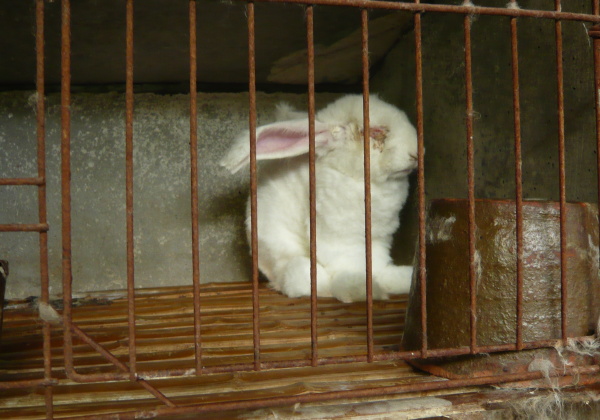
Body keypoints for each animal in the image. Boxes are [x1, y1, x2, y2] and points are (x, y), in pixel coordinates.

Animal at [220, 94, 418, 302]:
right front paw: (361, 288)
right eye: (376, 132)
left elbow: (378, 266)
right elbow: (350, 266)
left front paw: (397, 280)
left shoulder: (379, 239)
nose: (416, 154)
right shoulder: (338, 240)